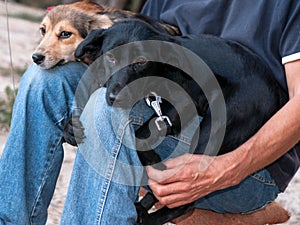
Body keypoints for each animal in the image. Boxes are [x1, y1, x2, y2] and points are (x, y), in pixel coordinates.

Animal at [74, 20, 288, 224]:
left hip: (216, 128)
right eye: (110, 57)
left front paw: (154, 159)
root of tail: (275, 90)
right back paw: (142, 209)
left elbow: (140, 134)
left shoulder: (184, 102)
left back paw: (149, 217)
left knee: (185, 197)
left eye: (141, 61)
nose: (114, 98)